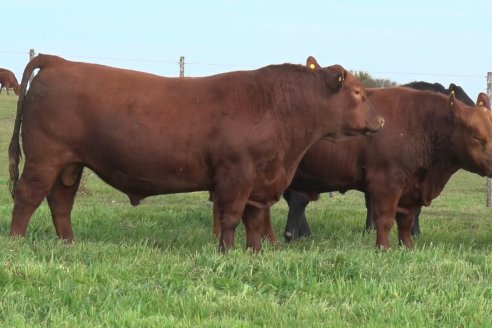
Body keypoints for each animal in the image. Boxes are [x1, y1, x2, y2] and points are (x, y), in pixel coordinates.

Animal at [8, 53, 384, 251]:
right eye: (358, 91)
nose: (381, 120)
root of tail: (58, 61)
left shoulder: (261, 181)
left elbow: (255, 218)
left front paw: (256, 253)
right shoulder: (236, 174)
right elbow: (231, 216)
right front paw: (228, 252)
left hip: (69, 164)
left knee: (60, 202)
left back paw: (69, 243)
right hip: (45, 158)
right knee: (28, 196)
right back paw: (16, 241)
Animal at [268, 87, 490, 249]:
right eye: (477, 137)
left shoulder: (410, 188)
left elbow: (406, 220)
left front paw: (408, 247)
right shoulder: (386, 182)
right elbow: (385, 218)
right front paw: (384, 248)